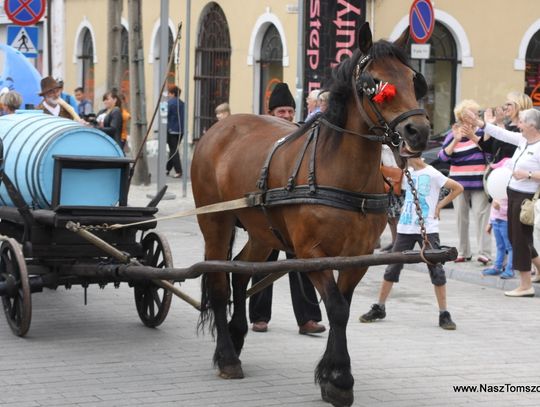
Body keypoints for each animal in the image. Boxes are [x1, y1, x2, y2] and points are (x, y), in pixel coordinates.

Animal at [190, 23, 430, 406]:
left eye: (412, 79)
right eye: (375, 84)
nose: (418, 132)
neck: (341, 171)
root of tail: (220, 126)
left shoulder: (357, 257)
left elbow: (341, 307)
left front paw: (332, 376)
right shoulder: (311, 254)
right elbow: (336, 308)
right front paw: (340, 378)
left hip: (263, 231)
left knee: (241, 272)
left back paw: (238, 335)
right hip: (216, 222)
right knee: (217, 283)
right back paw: (227, 356)